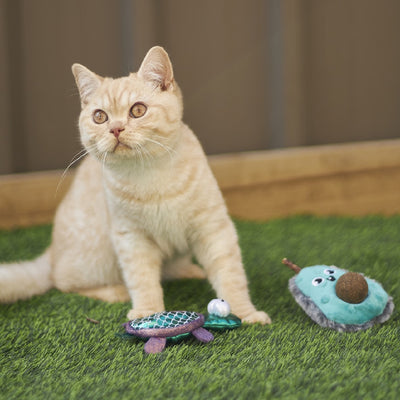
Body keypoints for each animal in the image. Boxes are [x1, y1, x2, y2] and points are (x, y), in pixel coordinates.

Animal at [0, 46, 270, 324]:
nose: (116, 129)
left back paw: (189, 271)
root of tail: (51, 253)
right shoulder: (131, 237)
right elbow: (142, 279)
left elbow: (231, 276)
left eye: (138, 110)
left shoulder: (213, 228)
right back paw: (114, 291)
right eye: (100, 117)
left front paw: (245, 312)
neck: (150, 174)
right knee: (63, 283)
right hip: (96, 259)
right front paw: (147, 313)